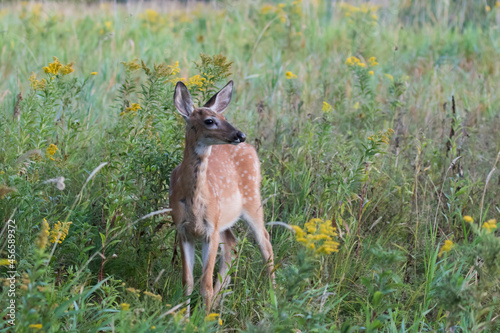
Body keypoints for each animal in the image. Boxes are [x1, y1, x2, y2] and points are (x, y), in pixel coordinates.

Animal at [170, 80, 276, 312]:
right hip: (225, 219)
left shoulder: (210, 229)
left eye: (224, 117)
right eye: (209, 121)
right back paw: (220, 301)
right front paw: (184, 316)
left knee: (265, 242)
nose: (240, 135)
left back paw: (274, 297)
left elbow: (205, 284)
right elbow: (187, 282)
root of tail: (251, 149)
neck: (194, 201)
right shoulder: (183, 230)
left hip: (252, 201)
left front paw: (203, 316)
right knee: (232, 244)